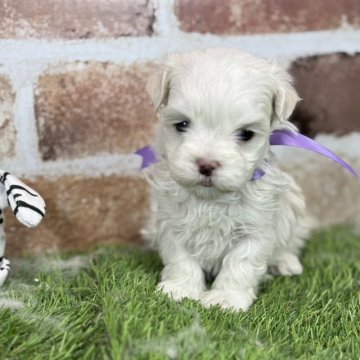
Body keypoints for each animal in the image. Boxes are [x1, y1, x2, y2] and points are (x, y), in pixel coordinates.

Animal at [142, 48, 310, 312]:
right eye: (182, 124)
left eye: (246, 134)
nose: (207, 164)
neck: (211, 199)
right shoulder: (170, 222)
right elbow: (180, 258)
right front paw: (180, 289)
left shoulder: (256, 229)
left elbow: (240, 264)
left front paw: (225, 298)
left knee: (292, 242)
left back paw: (285, 262)